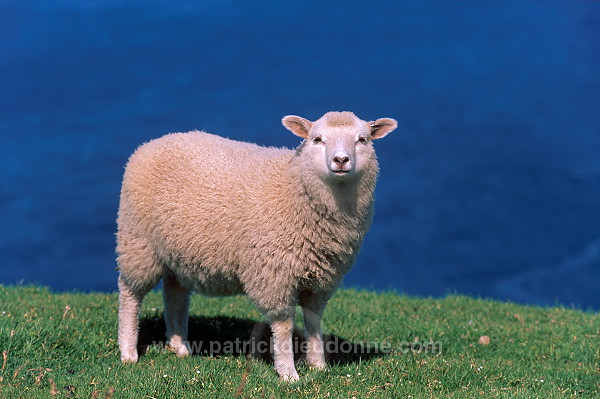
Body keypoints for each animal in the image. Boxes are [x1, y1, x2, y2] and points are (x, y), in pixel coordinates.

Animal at [117, 111, 398, 382]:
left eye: (363, 140)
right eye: (317, 139)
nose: (341, 160)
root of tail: (151, 143)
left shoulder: (322, 279)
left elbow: (313, 320)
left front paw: (318, 365)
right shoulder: (275, 274)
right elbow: (284, 325)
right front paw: (288, 373)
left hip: (177, 251)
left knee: (175, 294)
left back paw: (180, 347)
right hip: (138, 242)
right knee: (130, 295)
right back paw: (128, 352)